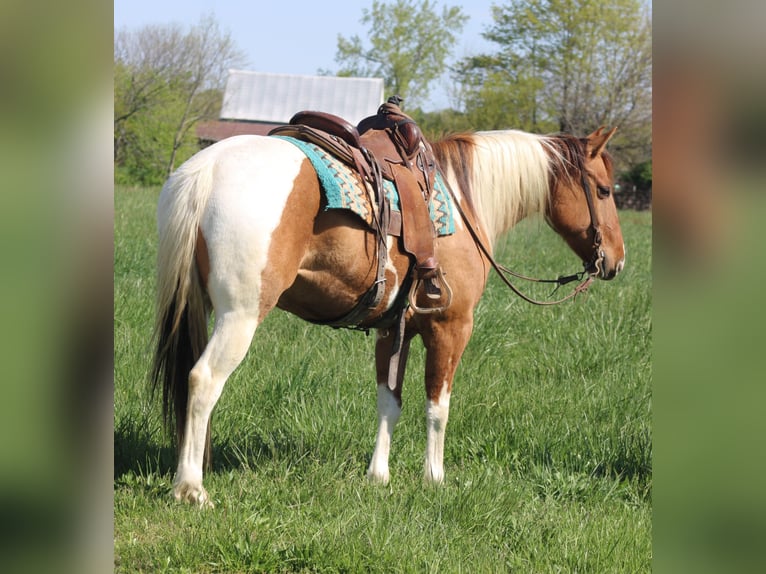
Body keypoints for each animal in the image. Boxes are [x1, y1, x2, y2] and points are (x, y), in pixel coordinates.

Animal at [153, 124, 628, 506]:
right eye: (604, 190)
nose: (616, 261)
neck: (463, 203)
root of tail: (209, 168)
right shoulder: (451, 328)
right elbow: (437, 406)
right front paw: (434, 477)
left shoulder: (392, 330)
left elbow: (389, 402)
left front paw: (378, 476)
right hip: (240, 317)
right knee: (203, 381)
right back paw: (191, 487)